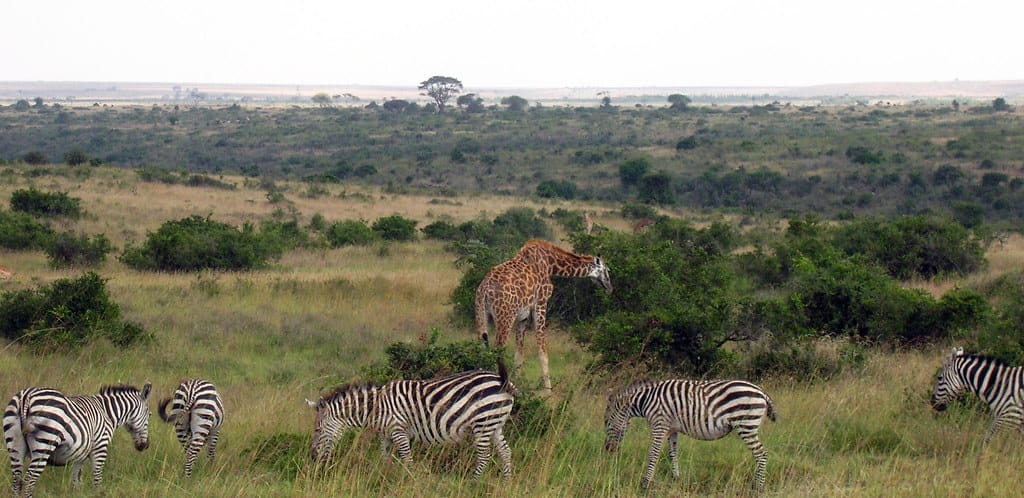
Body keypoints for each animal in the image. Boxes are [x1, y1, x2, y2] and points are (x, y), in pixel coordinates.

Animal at [3, 383, 151, 495]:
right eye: (149, 415)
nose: (145, 446)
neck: (108, 414)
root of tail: (26, 397)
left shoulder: (80, 454)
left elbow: (76, 480)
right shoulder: (100, 447)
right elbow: (97, 477)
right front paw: (98, 493)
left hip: (14, 443)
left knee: (16, 479)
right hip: (44, 444)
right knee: (29, 479)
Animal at [301, 360, 512, 477]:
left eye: (317, 429)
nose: (313, 457)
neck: (376, 408)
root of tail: (502, 380)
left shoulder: (398, 431)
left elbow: (407, 459)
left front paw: (408, 482)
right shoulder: (385, 435)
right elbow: (384, 458)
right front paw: (381, 478)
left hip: (483, 423)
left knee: (484, 457)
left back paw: (473, 483)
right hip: (495, 425)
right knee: (505, 452)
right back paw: (506, 483)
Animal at [475, 239, 610, 391]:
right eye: (607, 270)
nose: (610, 288)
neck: (550, 263)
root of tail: (485, 289)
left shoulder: (523, 315)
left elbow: (519, 355)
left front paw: (519, 382)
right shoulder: (541, 304)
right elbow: (542, 353)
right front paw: (548, 392)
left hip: (481, 314)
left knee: (480, 348)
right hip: (505, 317)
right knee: (498, 350)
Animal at [598, 381, 774, 489]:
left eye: (606, 422)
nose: (608, 449)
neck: (645, 401)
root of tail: (761, 392)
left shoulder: (659, 425)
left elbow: (653, 454)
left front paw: (645, 484)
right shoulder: (672, 429)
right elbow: (673, 454)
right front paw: (676, 478)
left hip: (746, 425)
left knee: (761, 454)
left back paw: (758, 487)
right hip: (748, 426)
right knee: (759, 454)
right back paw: (755, 483)